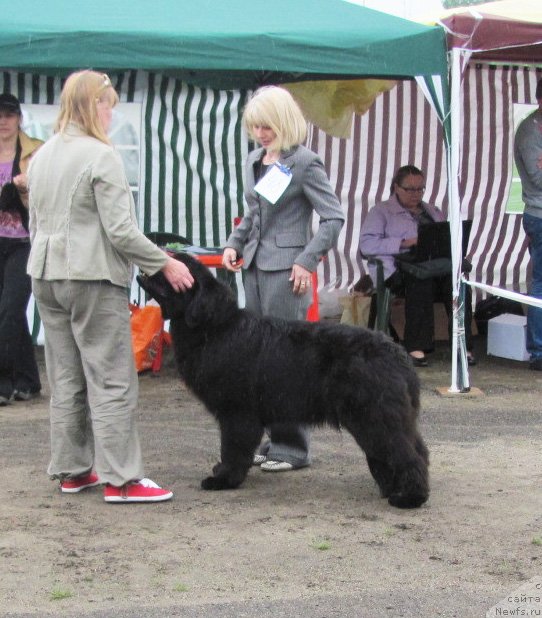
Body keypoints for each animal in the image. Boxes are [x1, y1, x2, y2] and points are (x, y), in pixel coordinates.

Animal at [138, 253, 432, 508]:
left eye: (177, 264)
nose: (159, 254)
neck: (214, 329)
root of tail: (398, 353)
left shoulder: (237, 412)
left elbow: (232, 448)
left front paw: (224, 479)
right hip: (387, 418)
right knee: (416, 451)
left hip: (375, 417)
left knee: (407, 455)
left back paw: (409, 498)